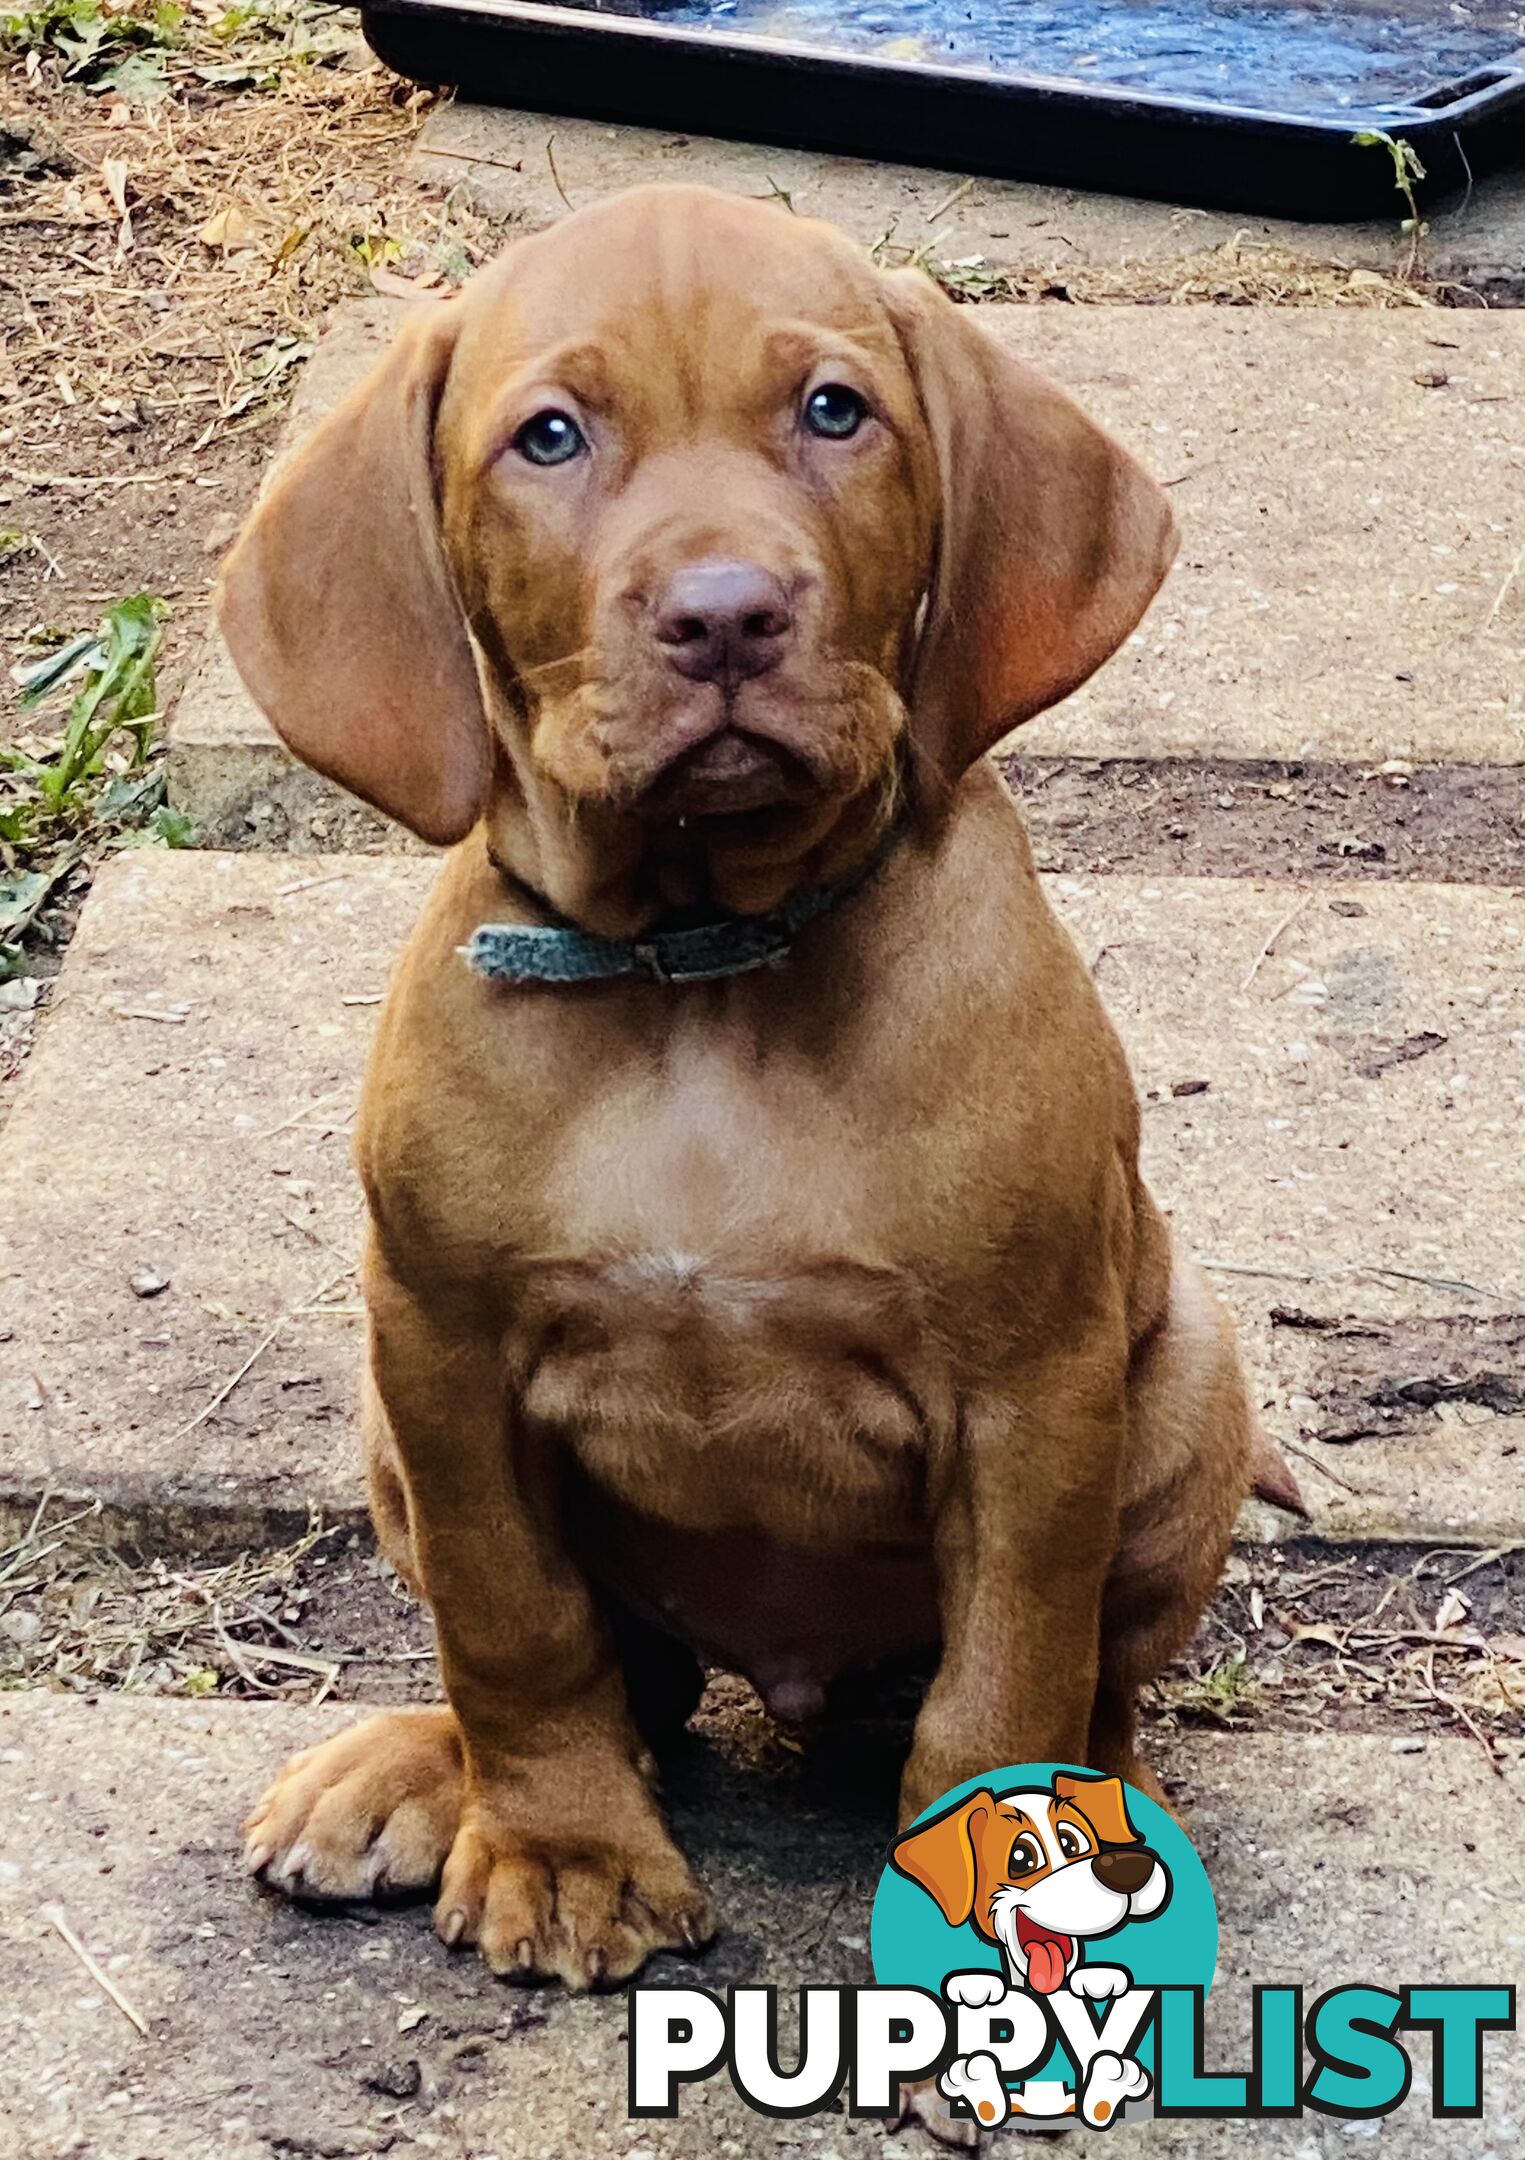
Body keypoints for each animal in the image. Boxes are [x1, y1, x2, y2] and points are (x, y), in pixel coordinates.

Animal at [220, 181, 1252, 1987]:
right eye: (550, 436)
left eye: (835, 412)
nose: (722, 613)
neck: (698, 977)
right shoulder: (440, 1351)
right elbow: (517, 1627)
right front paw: (563, 1848)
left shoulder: (1034, 1390)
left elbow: (1004, 1685)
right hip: (385, 1422)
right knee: (624, 1683)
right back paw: (417, 1775)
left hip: (1185, 1375)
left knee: (1093, 1693)